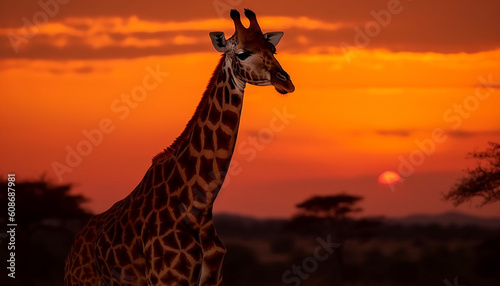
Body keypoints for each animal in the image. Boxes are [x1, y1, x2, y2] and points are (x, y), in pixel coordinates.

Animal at [64, 8, 294, 286]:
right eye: (242, 53)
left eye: (273, 49)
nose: (286, 82)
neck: (199, 208)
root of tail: (71, 253)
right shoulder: (168, 279)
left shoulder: (213, 279)